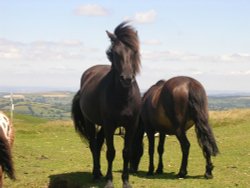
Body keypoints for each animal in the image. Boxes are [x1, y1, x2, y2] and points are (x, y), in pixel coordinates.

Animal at [72, 22, 142, 188]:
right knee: (93, 146)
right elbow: (111, 152)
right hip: (90, 122)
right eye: (115, 52)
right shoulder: (110, 125)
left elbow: (126, 152)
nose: (127, 78)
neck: (123, 97)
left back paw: (100, 174)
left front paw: (126, 181)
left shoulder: (131, 125)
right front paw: (109, 181)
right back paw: (96, 174)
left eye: (134, 51)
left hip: (103, 125)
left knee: (98, 144)